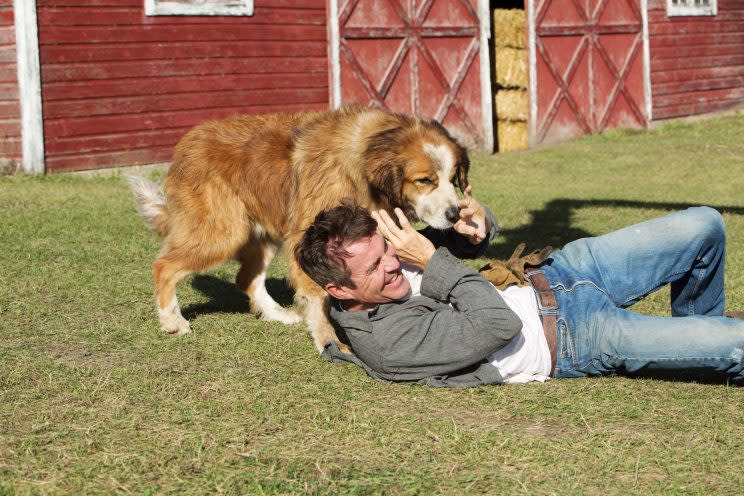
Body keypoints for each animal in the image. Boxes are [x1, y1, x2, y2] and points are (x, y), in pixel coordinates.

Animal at [129, 104, 470, 352]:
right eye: (424, 180)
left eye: (452, 178)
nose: (455, 215)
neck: (362, 161)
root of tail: (185, 146)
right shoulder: (311, 236)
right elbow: (317, 294)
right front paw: (327, 339)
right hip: (223, 232)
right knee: (164, 266)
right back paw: (172, 321)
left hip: (261, 236)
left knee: (246, 278)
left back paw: (276, 314)